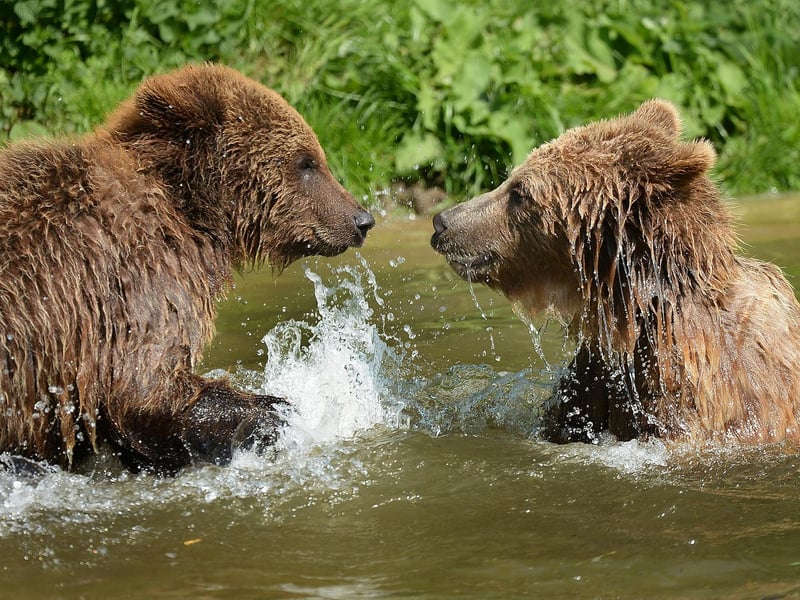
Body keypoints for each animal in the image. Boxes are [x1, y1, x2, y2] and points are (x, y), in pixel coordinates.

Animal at [0, 64, 375, 474]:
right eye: (306, 162)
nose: (362, 220)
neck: (190, 207)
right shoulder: (136, 274)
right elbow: (144, 386)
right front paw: (274, 409)